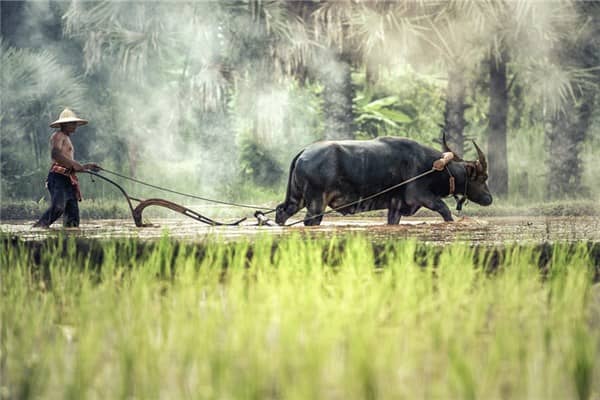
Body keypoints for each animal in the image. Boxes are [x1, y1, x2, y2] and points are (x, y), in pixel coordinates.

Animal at [276, 135, 492, 225]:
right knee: (310, 221)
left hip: (296, 198)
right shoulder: (421, 196)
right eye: (483, 177)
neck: (433, 166)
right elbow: (445, 211)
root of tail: (304, 152)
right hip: (316, 203)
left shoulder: (396, 206)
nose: (489, 199)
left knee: (282, 212)